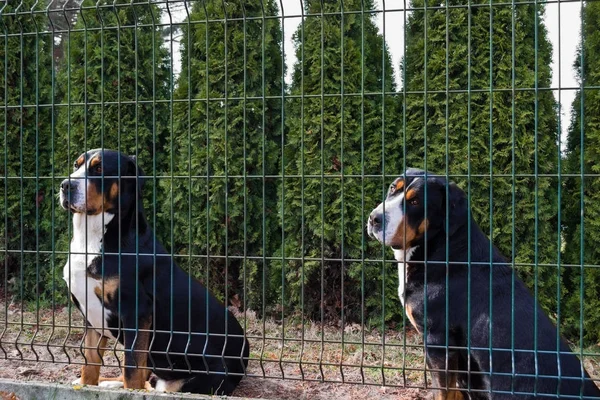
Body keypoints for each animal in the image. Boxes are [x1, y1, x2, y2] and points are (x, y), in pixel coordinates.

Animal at [59, 149, 248, 394]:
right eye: (77, 165)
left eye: (99, 169)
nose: (65, 185)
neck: (93, 238)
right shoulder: (91, 316)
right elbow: (90, 362)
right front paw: (87, 386)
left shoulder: (136, 311)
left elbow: (132, 367)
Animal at [366, 169, 600, 400]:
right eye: (392, 189)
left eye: (415, 202)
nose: (374, 218)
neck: (443, 247)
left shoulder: (438, 341)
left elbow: (443, 391)